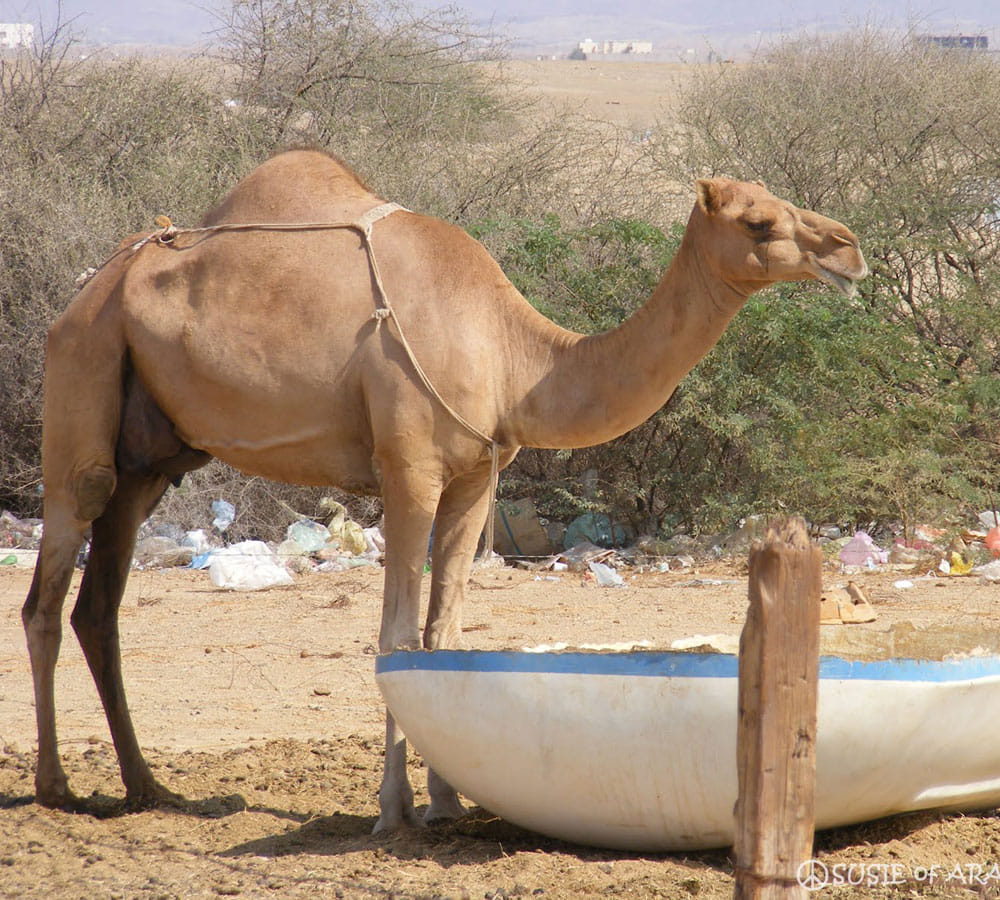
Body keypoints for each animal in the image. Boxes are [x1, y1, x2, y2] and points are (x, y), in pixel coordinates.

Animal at [22, 148, 867, 831]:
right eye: (759, 221)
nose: (850, 248)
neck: (514, 354)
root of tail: (85, 291)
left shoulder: (474, 478)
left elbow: (445, 636)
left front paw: (451, 801)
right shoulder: (410, 467)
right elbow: (397, 636)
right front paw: (394, 810)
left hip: (151, 458)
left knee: (100, 604)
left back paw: (148, 788)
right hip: (83, 373)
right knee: (51, 582)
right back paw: (59, 787)